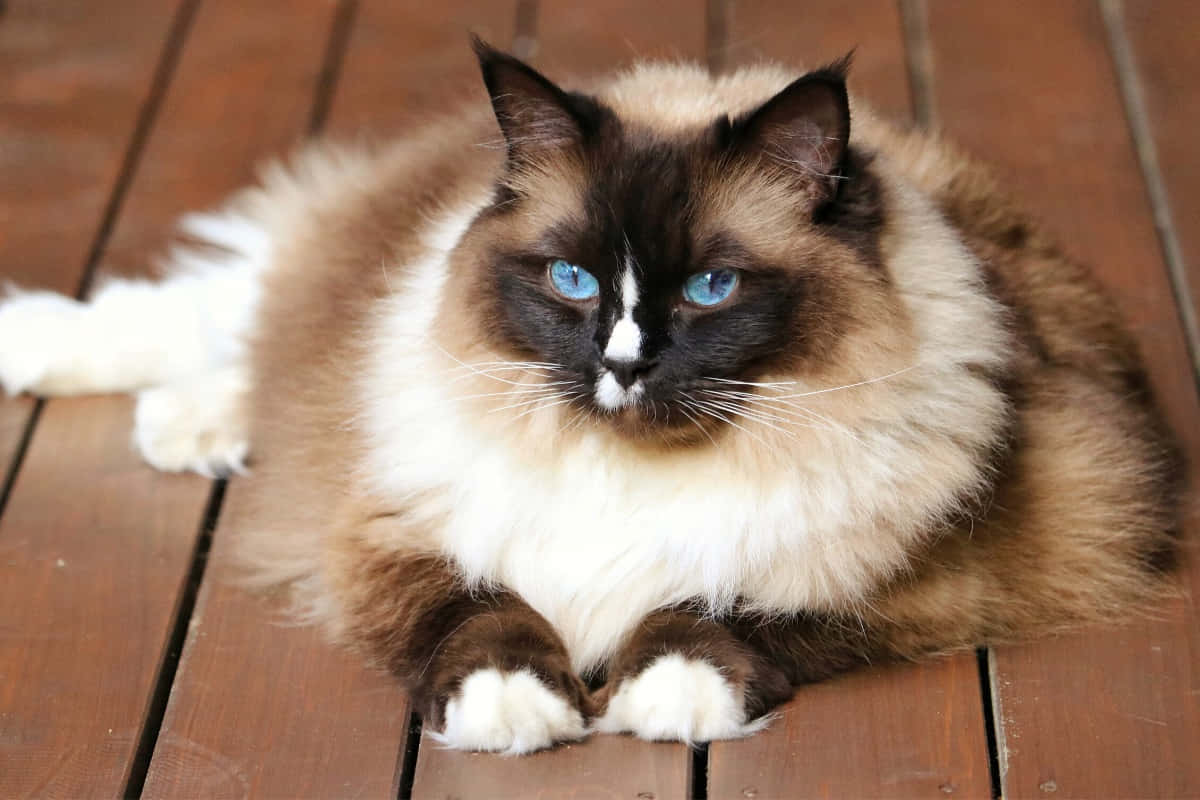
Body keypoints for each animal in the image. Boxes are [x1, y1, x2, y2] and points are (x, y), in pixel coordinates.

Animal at [0, 37, 1180, 753]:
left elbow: (723, 602)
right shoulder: (399, 533)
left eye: (710, 288)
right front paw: (518, 712)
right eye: (573, 280)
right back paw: (64, 362)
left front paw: (663, 699)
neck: (623, 472)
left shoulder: (906, 578)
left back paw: (191, 425)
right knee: (209, 305)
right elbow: (478, 613)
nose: (623, 363)